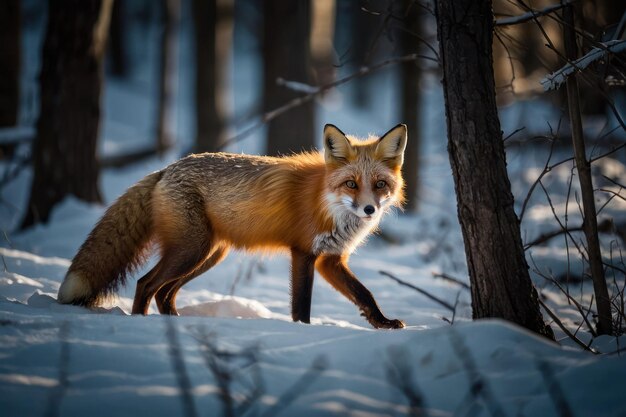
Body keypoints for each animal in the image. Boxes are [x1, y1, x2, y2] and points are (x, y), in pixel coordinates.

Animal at [58, 123, 408, 328]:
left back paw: (176, 327)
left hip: (208, 254)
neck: (327, 203)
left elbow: (364, 294)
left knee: (165, 293)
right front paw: (301, 333)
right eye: (351, 184)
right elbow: (301, 306)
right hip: (191, 250)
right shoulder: (304, 253)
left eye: (379, 185)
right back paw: (143, 327)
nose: (369, 209)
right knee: (146, 284)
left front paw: (383, 323)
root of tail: (166, 168)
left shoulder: (331, 260)